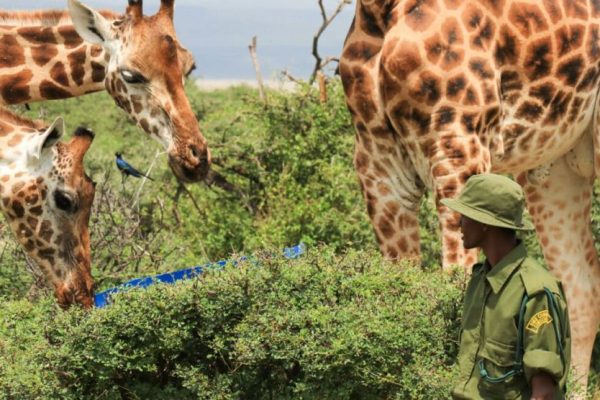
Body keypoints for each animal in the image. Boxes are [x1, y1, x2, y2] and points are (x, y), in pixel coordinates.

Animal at [340, 0, 600, 390]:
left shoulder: (459, 144)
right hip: (556, 167)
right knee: (580, 289)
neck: (381, 11)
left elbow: (456, 289)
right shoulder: (379, 165)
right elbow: (398, 293)